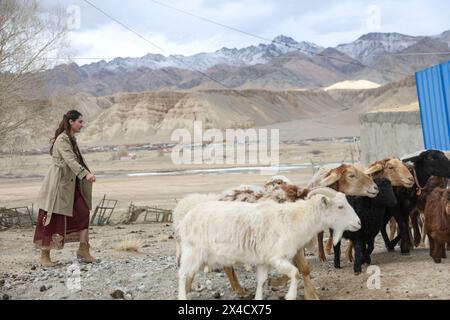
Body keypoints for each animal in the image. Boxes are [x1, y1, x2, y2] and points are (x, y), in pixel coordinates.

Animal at [178, 188, 360, 300]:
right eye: (340, 206)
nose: (358, 223)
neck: (293, 220)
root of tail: (187, 217)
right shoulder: (277, 258)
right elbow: (295, 273)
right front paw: (290, 296)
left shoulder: (263, 261)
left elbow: (262, 281)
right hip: (192, 252)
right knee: (182, 274)